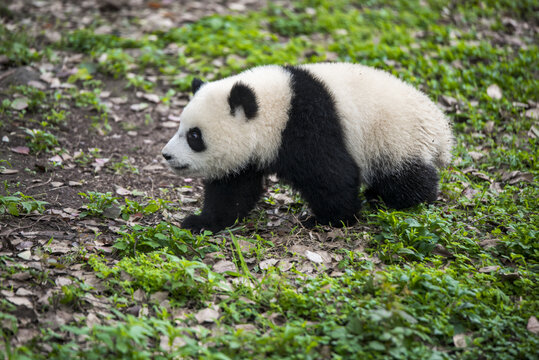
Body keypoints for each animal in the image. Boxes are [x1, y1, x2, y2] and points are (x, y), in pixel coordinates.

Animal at [161, 63, 456, 233]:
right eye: (180, 127)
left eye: (194, 136)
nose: (167, 155)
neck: (275, 104)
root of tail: (443, 132)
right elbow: (233, 188)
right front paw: (201, 222)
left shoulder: (308, 124)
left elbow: (331, 174)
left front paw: (330, 219)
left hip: (396, 138)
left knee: (406, 177)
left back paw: (395, 198)